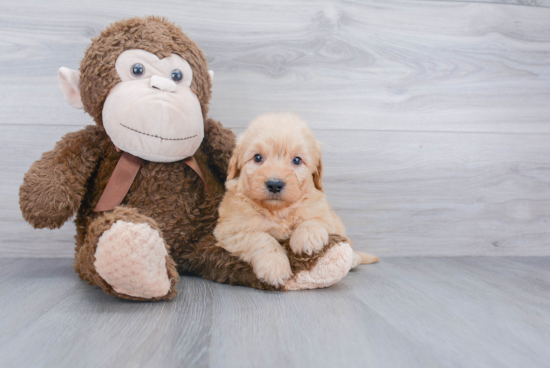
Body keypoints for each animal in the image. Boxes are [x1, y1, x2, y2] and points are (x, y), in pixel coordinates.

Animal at [215, 112, 380, 288]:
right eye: (257, 157)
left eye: (297, 160)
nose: (275, 184)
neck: (278, 211)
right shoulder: (231, 229)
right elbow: (261, 238)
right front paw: (275, 266)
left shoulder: (324, 213)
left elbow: (314, 219)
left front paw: (307, 238)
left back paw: (354, 258)